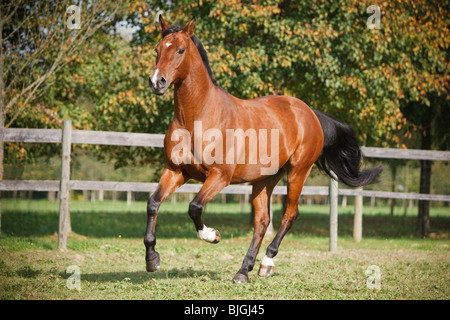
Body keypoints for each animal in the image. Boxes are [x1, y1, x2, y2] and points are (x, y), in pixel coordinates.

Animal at [145, 16, 384, 284]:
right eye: (157, 49)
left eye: (180, 50)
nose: (157, 82)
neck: (198, 118)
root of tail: (309, 113)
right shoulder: (177, 170)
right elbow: (153, 203)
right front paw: (152, 259)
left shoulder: (219, 176)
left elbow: (194, 207)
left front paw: (213, 235)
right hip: (264, 180)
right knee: (262, 221)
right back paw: (243, 271)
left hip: (298, 171)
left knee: (289, 215)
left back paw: (266, 263)